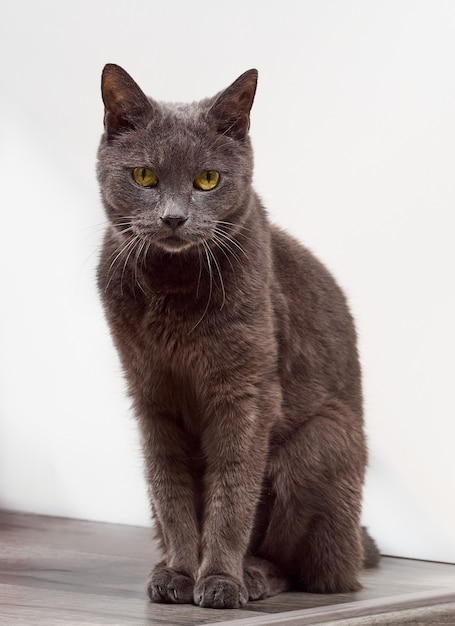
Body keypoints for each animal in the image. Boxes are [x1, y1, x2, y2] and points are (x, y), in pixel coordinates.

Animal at [97, 63, 382, 604]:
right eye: (144, 176)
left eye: (207, 179)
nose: (173, 217)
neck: (173, 288)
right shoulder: (151, 394)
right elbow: (171, 490)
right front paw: (179, 574)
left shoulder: (246, 394)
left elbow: (232, 492)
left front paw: (219, 581)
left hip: (323, 440)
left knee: (311, 570)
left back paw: (254, 575)